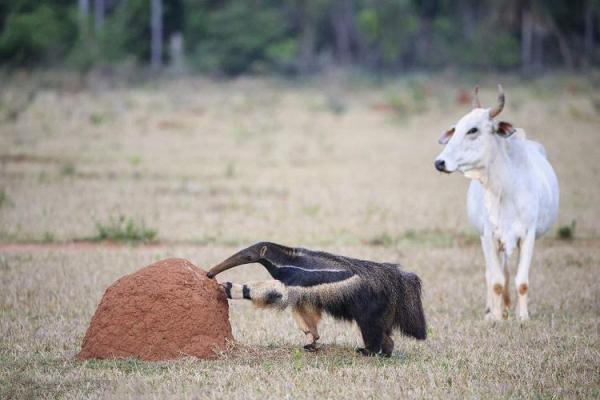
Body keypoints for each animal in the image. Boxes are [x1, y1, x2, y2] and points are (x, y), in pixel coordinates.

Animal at [436, 86, 556, 320]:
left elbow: (522, 282)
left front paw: (523, 317)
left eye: (473, 130)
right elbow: (497, 281)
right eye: (455, 129)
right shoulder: (488, 236)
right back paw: (492, 310)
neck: (504, 189)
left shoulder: (528, 235)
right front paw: (497, 317)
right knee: (491, 275)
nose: (440, 162)